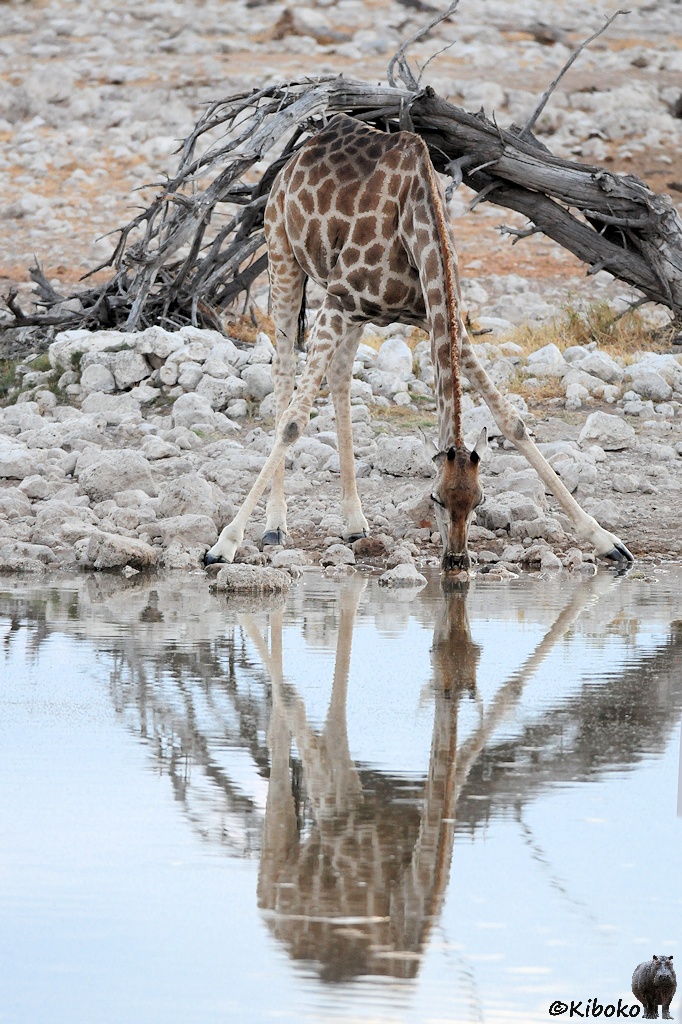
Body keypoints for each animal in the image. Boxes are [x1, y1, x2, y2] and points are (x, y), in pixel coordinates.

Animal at [205, 114, 633, 570]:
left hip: (352, 313)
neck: (417, 227)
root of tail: (305, 146)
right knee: (284, 371)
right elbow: (292, 422)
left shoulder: (435, 316)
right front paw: (223, 544)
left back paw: (354, 521)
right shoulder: (339, 301)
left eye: (479, 500)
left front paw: (606, 539)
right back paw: (276, 524)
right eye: (436, 499)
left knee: (339, 375)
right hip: (282, 253)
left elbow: (512, 420)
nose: (457, 560)